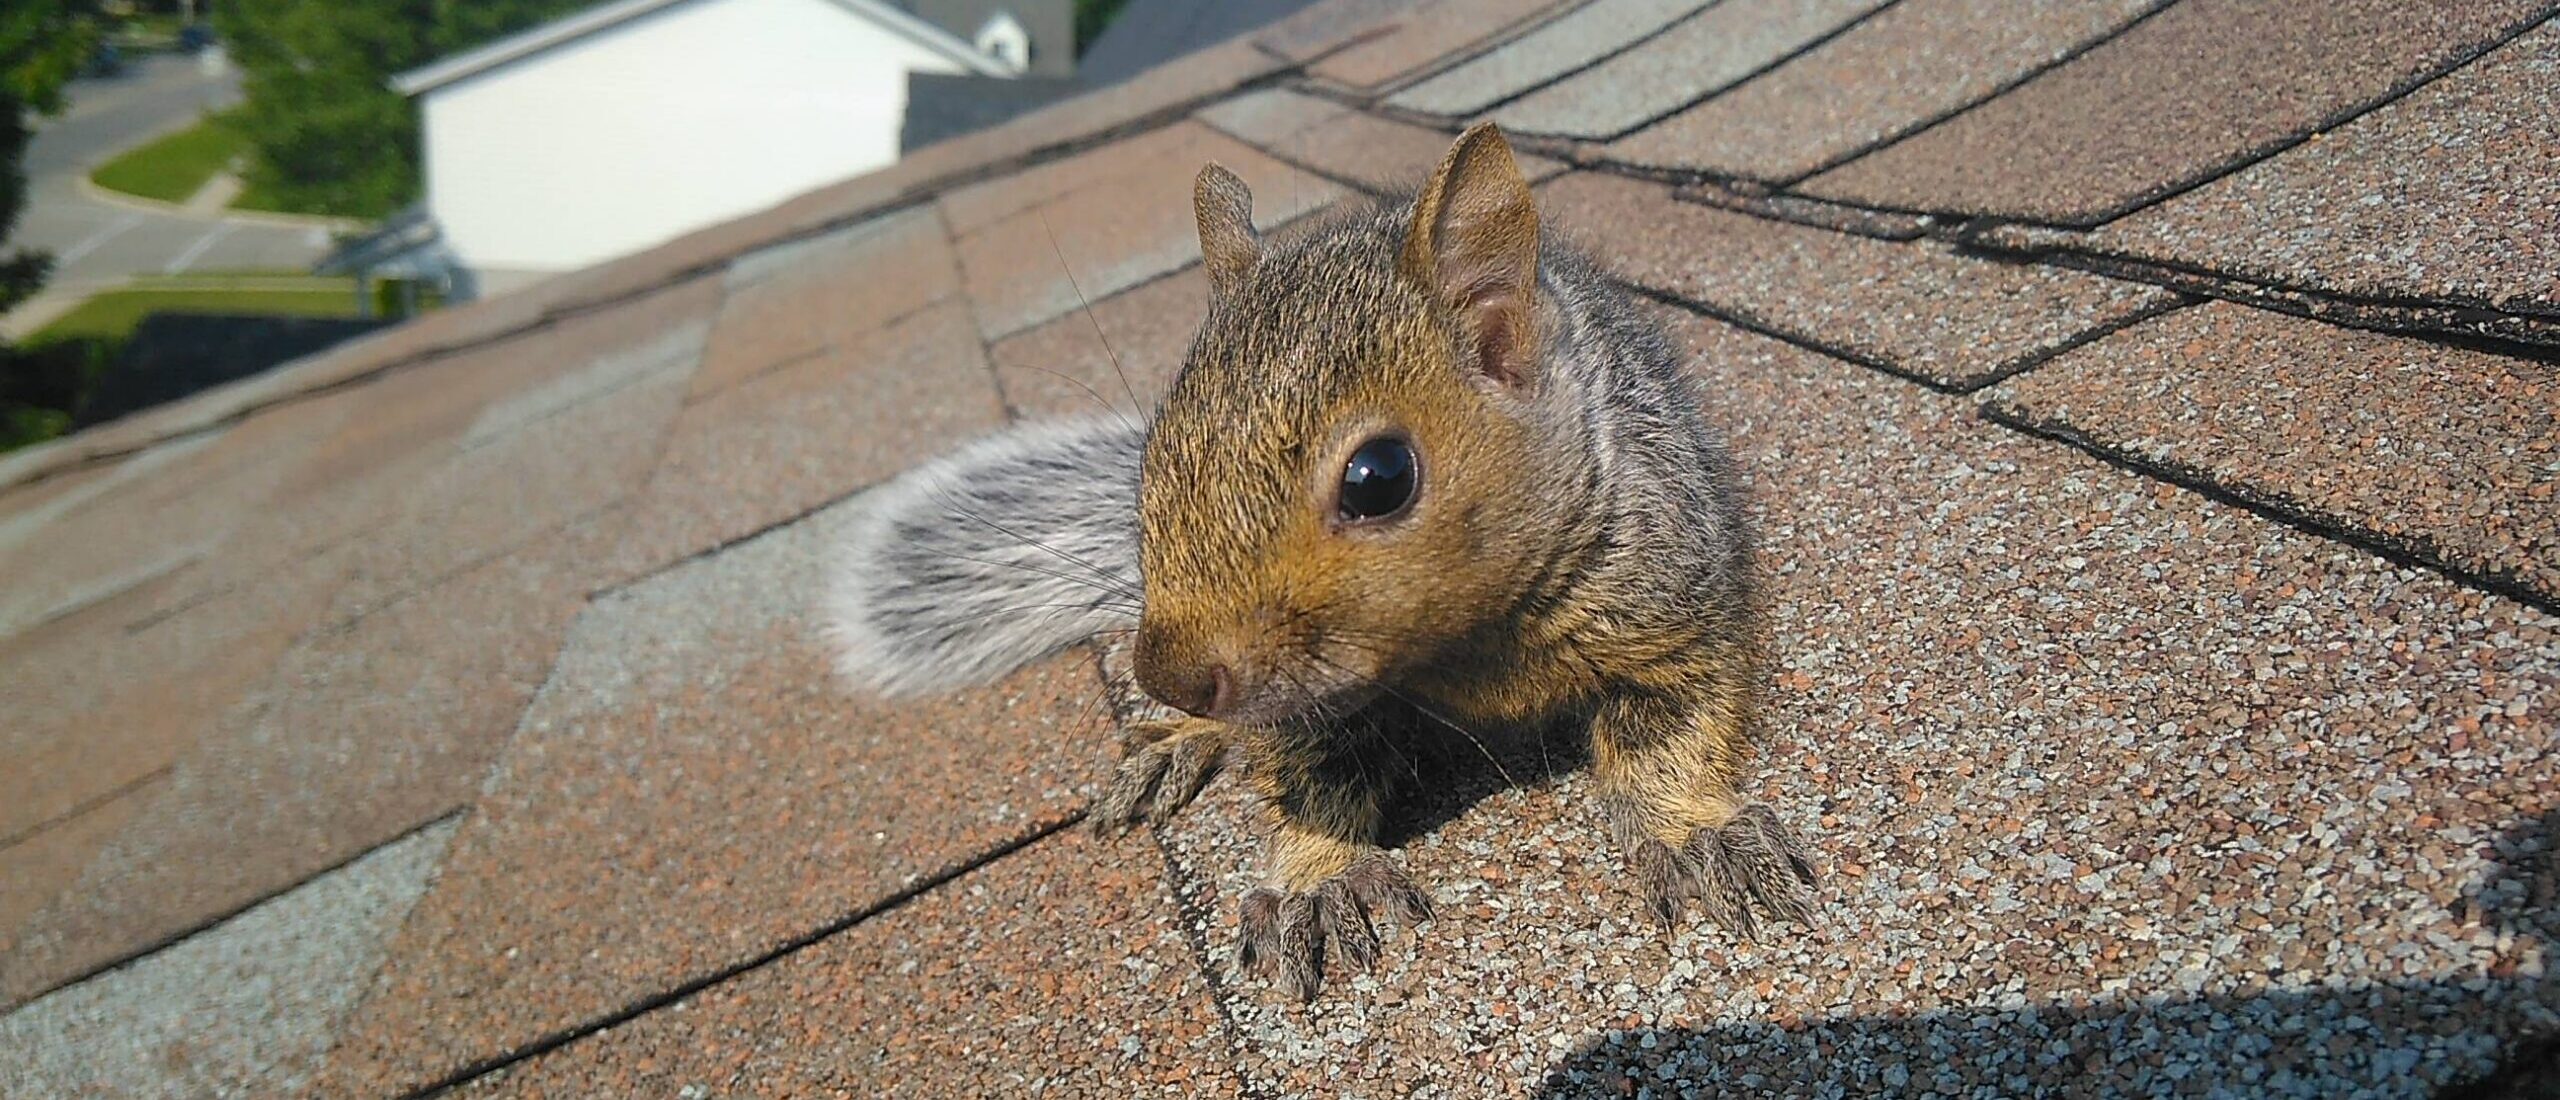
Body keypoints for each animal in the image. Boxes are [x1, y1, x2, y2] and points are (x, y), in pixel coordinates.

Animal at [824, 123, 1817, 1000]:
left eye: (1380, 478)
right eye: (1154, 458)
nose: (1170, 676)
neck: (1467, 641)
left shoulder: (1669, 595)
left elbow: (1670, 727)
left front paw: (1693, 833)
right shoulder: (1307, 703)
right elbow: (1310, 775)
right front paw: (1316, 878)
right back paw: (1179, 741)